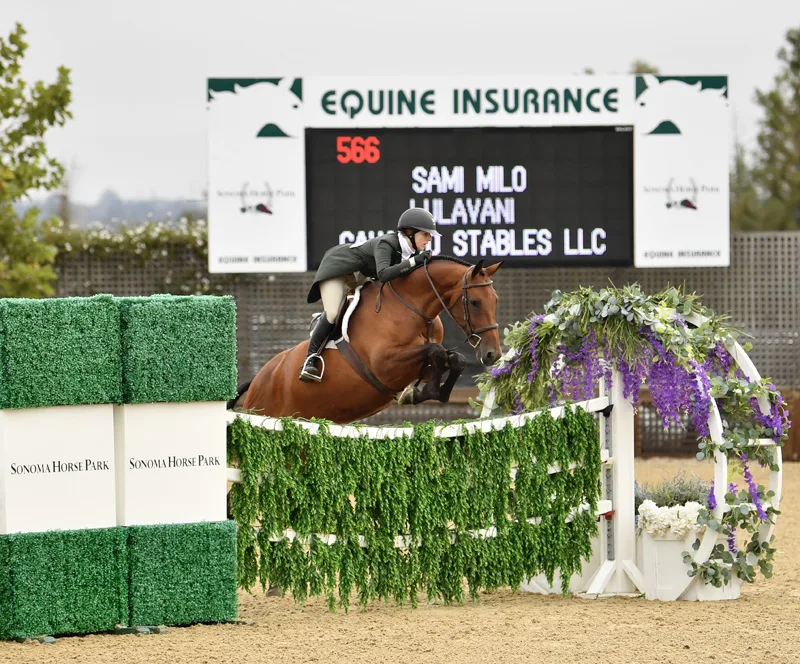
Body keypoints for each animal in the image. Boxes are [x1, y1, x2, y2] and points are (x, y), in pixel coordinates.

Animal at [230, 256, 500, 422]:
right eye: (475, 302)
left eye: (495, 300)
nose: (492, 354)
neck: (410, 306)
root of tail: (257, 381)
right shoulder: (386, 366)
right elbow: (436, 351)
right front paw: (416, 394)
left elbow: (453, 358)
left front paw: (429, 393)